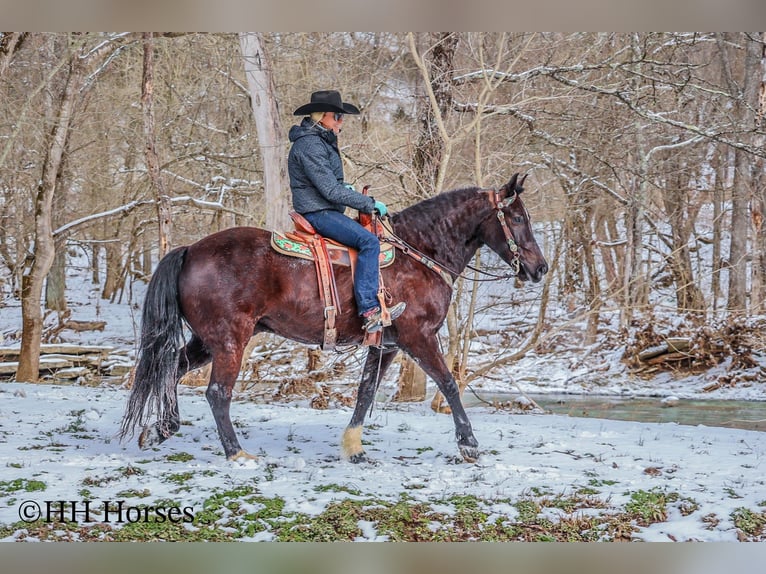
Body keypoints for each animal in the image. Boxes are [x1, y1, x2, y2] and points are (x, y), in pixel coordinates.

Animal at [120, 173, 548, 463]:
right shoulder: (419, 337)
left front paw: (353, 447)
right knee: (217, 393)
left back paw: (160, 430)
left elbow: (365, 392)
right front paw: (468, 443)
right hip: (230, 341)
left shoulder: (386, 345)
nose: (540, 268)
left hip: (207, 341)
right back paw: (236, 453)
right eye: (519, 218)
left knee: (173, 368)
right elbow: (448, 384)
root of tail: (191, 250)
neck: (420, 253)